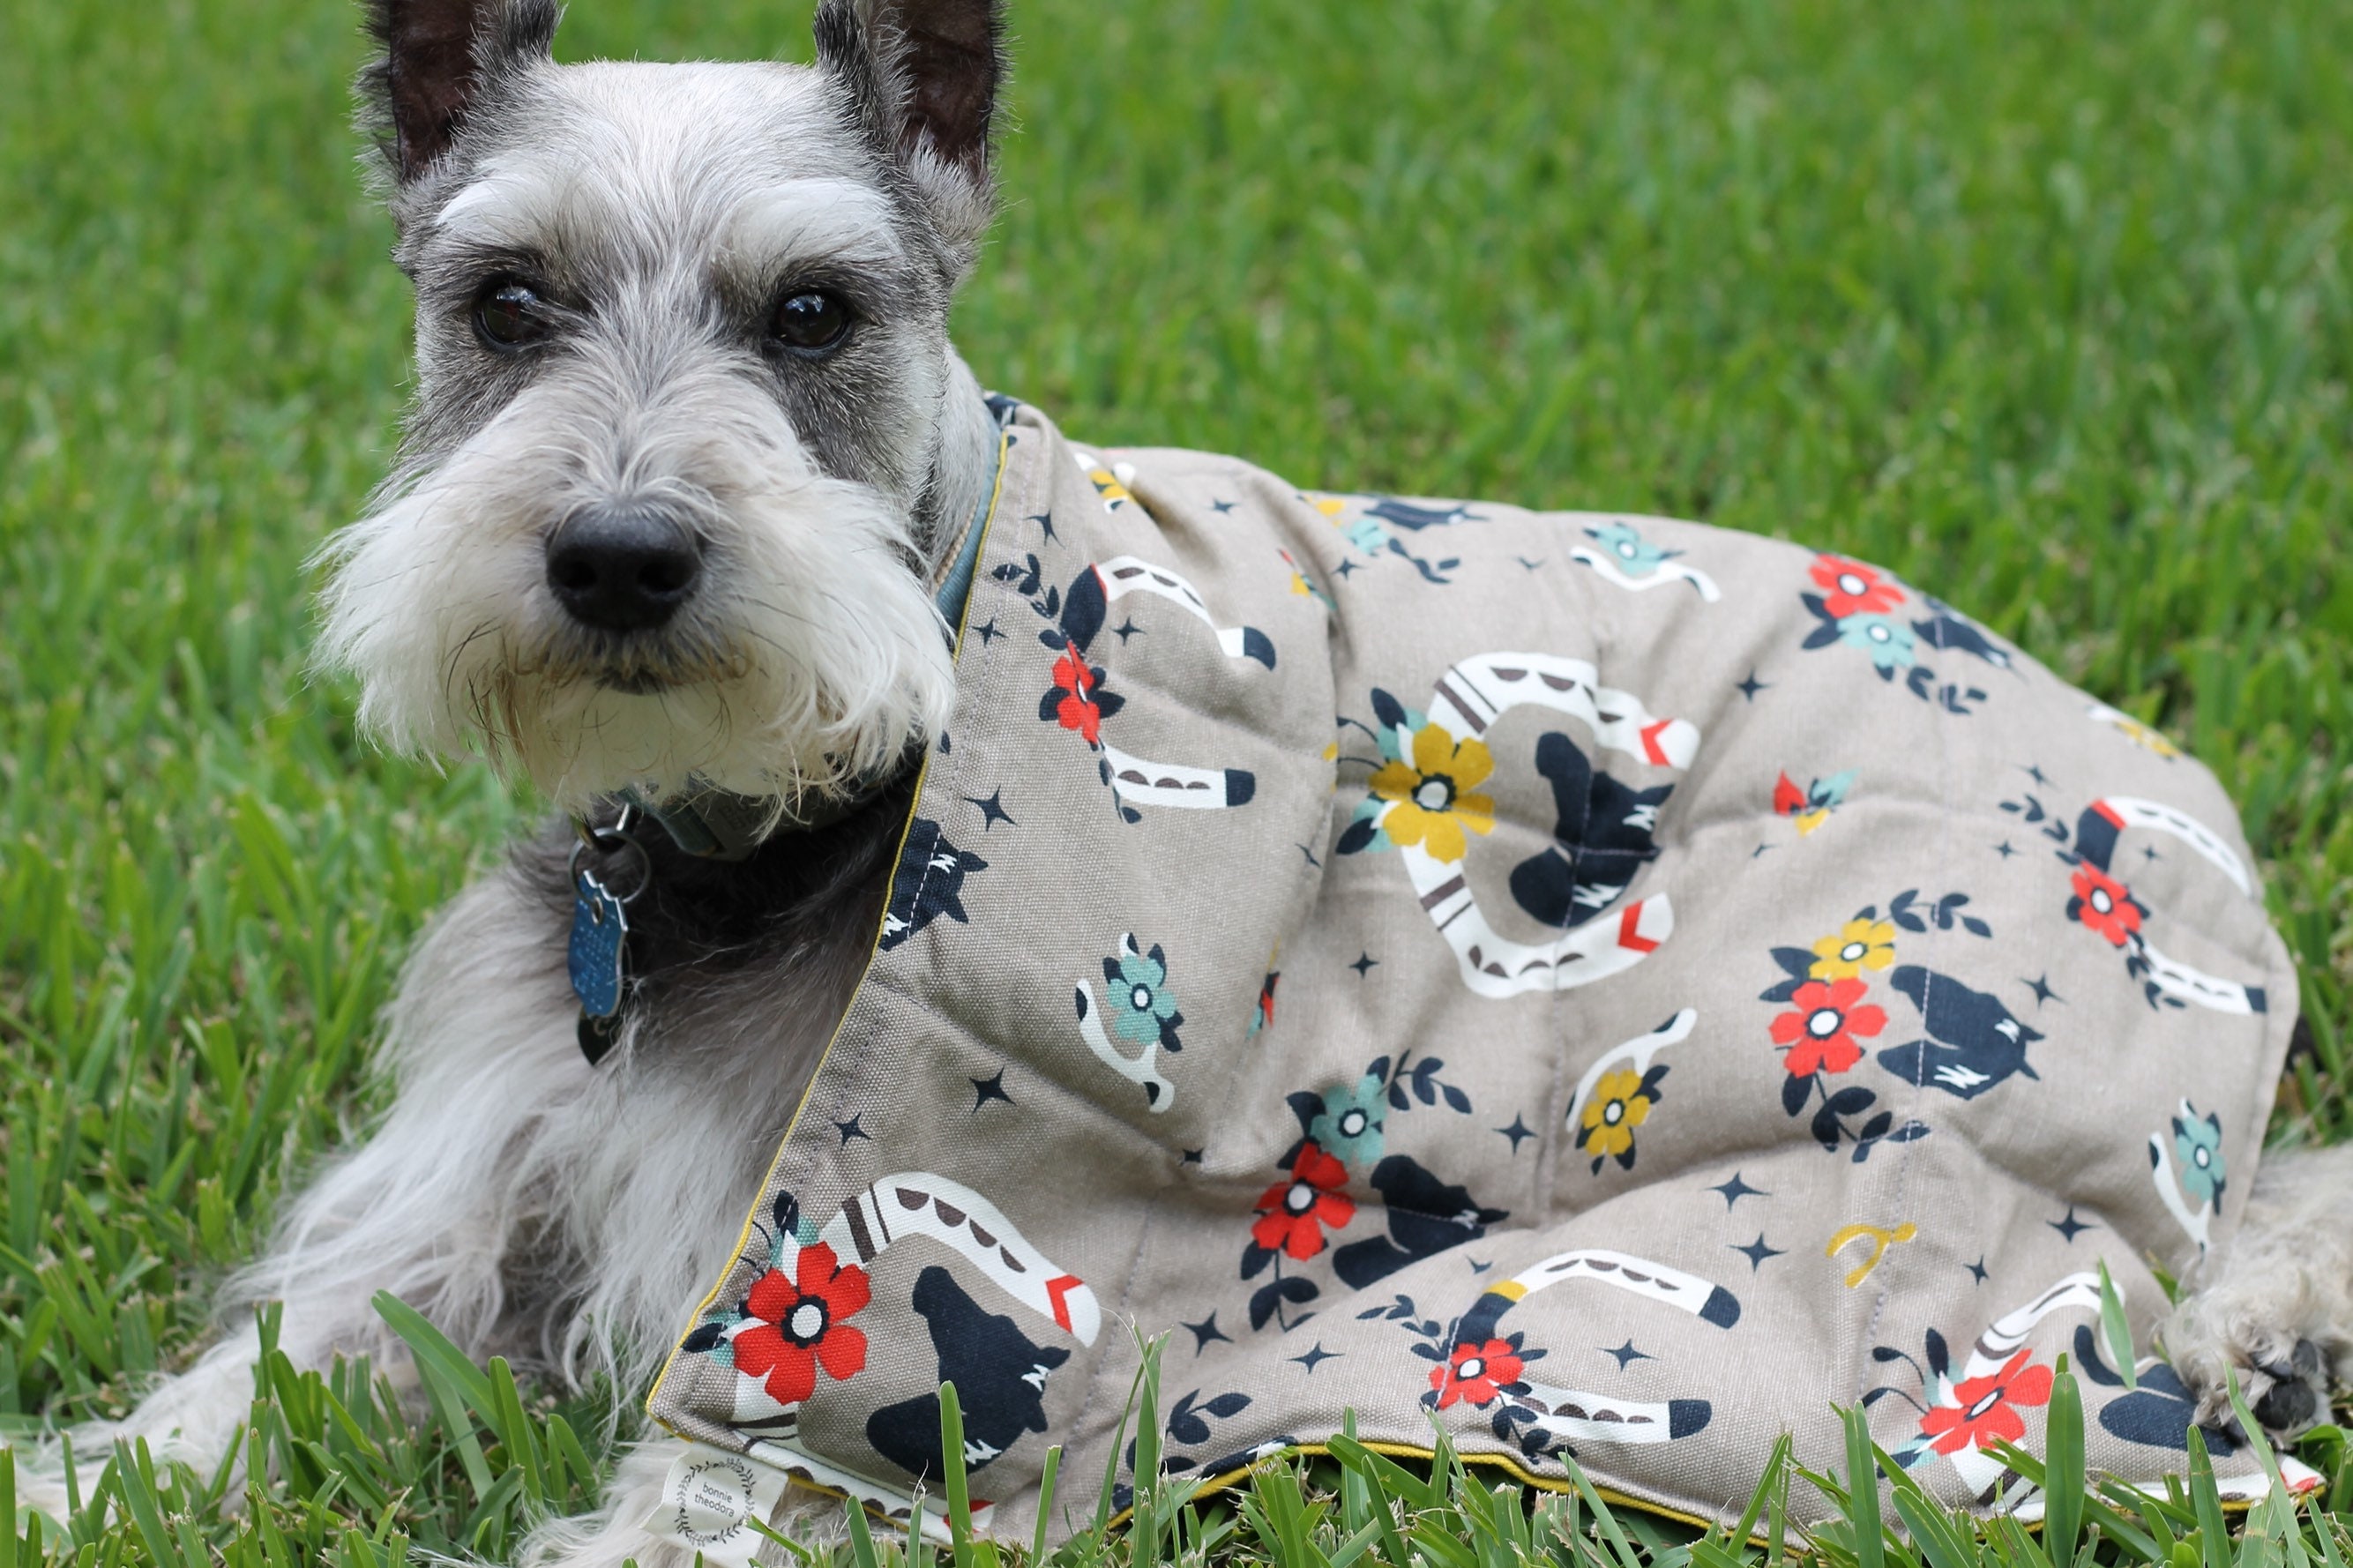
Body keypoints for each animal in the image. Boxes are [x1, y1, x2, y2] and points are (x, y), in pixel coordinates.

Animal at [4, 0, 2353, 1553]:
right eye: (505, 300)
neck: (778, 830)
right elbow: (267, 1373)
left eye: (811, 310)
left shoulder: (853, 1365)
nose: (617, 556)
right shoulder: (474, 1190)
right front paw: (85, 1480)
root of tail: (2190, 819)